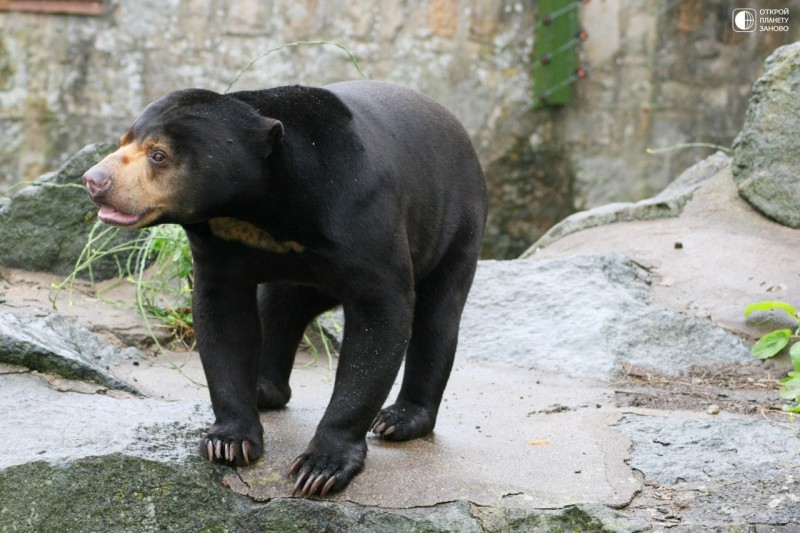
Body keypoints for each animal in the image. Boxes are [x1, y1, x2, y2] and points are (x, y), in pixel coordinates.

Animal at [84, 81, 490, 496]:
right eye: (123, 141)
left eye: (159, 155)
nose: (94, 181)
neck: (263, 208)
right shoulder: (217, 244)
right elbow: (223, 319)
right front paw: (228, 441)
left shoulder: (361, 214)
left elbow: (381, 317)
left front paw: (321, 468)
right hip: (299, 276)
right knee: (279, 309)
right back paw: (264, 388)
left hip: (457, 225)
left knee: (437, 318)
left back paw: (401, 418)